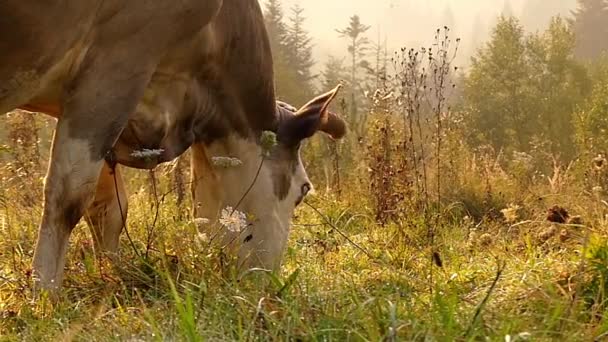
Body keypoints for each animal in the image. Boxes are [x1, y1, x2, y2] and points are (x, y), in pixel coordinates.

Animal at [0, 0, 344, 290]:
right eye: (304, 190)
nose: (270, 285)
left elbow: (109, 208)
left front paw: (111, 275)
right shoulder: (117, 63)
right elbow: (68, 198)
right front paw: (44, 295)